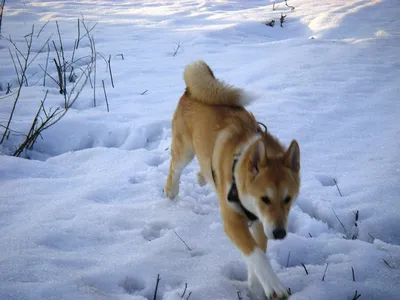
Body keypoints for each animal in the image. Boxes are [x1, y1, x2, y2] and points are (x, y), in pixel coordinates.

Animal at [163, 60, 300, 298]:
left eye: (288, 199)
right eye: (265, 198)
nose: (280, 233)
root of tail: (190, 91)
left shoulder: (259, 223)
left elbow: (257, 251)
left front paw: (255, 286)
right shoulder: (233, 220)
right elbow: (256, 253)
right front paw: (274, 286)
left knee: (204, 166)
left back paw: (203, 176)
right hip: (184, 150)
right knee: (174, 169)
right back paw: (171, 191)